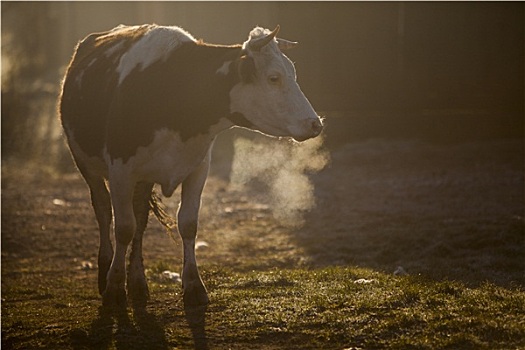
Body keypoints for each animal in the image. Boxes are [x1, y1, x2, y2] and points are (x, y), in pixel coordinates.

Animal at [60, 24, 324, 308]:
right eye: (274, 78)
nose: (315, 123)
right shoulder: (121, 170)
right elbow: (123, 228)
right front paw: (114, 289)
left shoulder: (198, 169)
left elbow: (186, 224)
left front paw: (194, 286)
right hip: (84, 163)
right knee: (103, 210)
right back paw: (105, 272)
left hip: (143, 178)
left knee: (140, 216)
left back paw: (138, 282)